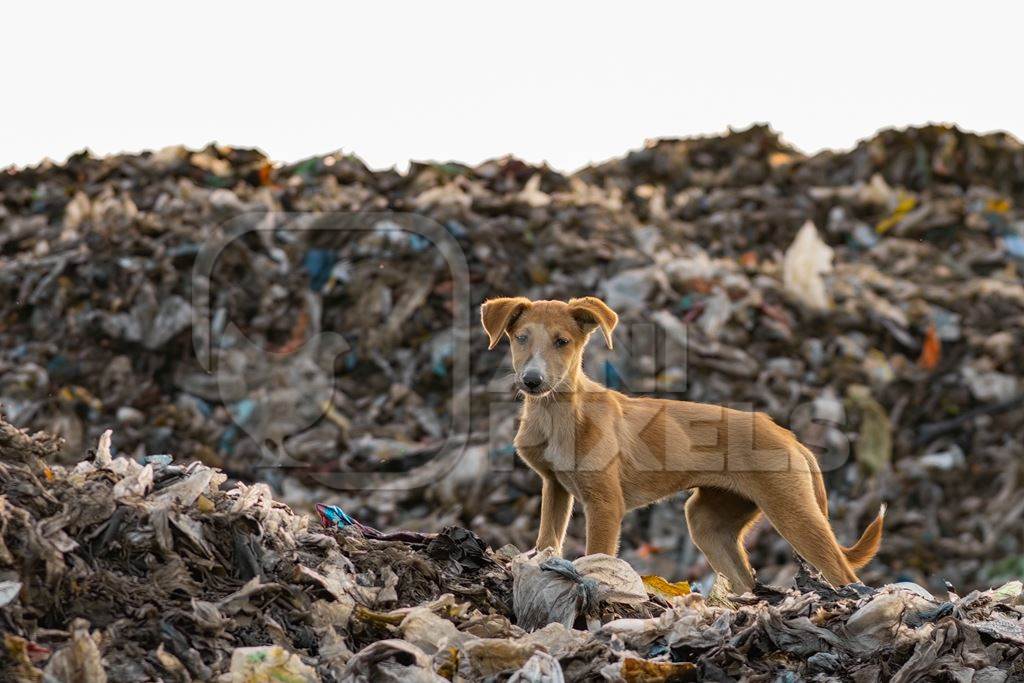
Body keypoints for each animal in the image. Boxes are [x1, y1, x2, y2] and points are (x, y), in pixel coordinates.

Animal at [483, 296, 884, 593]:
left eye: (562, 342)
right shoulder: (554, 487)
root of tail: (792, 438)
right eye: (521, 338)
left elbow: (597, 556)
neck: (559, 413)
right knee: (746, 583)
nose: (532, 381)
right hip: (709, 521)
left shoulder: (605, 504)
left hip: (793, 512)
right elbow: (548, 539)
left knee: (846, 576)